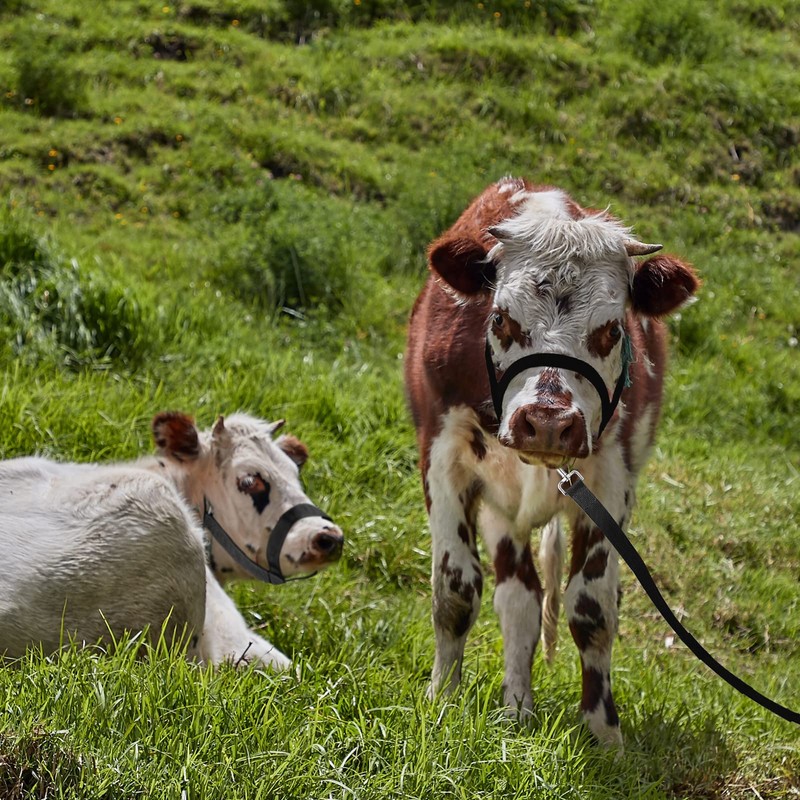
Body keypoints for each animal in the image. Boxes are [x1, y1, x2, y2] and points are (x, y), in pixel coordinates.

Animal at [404, 177, 699, 746]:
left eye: (613, 329)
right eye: (500, 318)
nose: (546, 421)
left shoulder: (611, 482)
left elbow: (592, 608)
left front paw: (603, 733)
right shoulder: (443, 458)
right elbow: (455, 591)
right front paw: (441, 700)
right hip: (501, 507)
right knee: (518, 600)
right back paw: (517, 707)